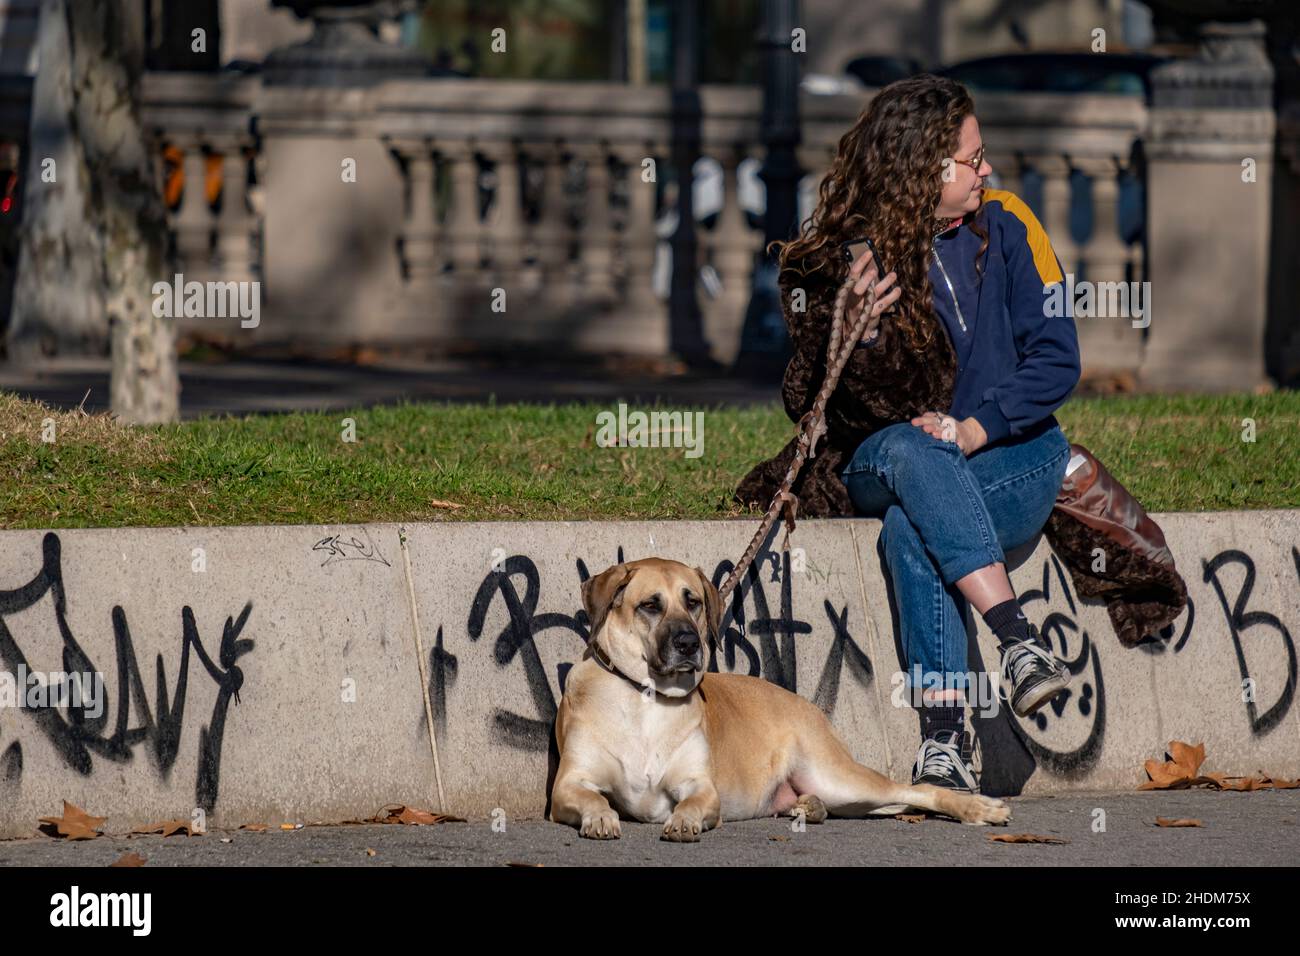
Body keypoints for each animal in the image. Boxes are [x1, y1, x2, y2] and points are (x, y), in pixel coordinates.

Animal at [546, 556, 1003, 842]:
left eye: (692, 601)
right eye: (650, 606)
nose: (689, 643)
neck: (644, 699)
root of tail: (806, 705)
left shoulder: (702, 787)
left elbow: (693, 802)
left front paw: (684, 820)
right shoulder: (568, 786)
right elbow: (590, 796)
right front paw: (601, 816)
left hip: (836, 776)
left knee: (914, 792)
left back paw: (979, 809)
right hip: (841, 792)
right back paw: (807, 807)